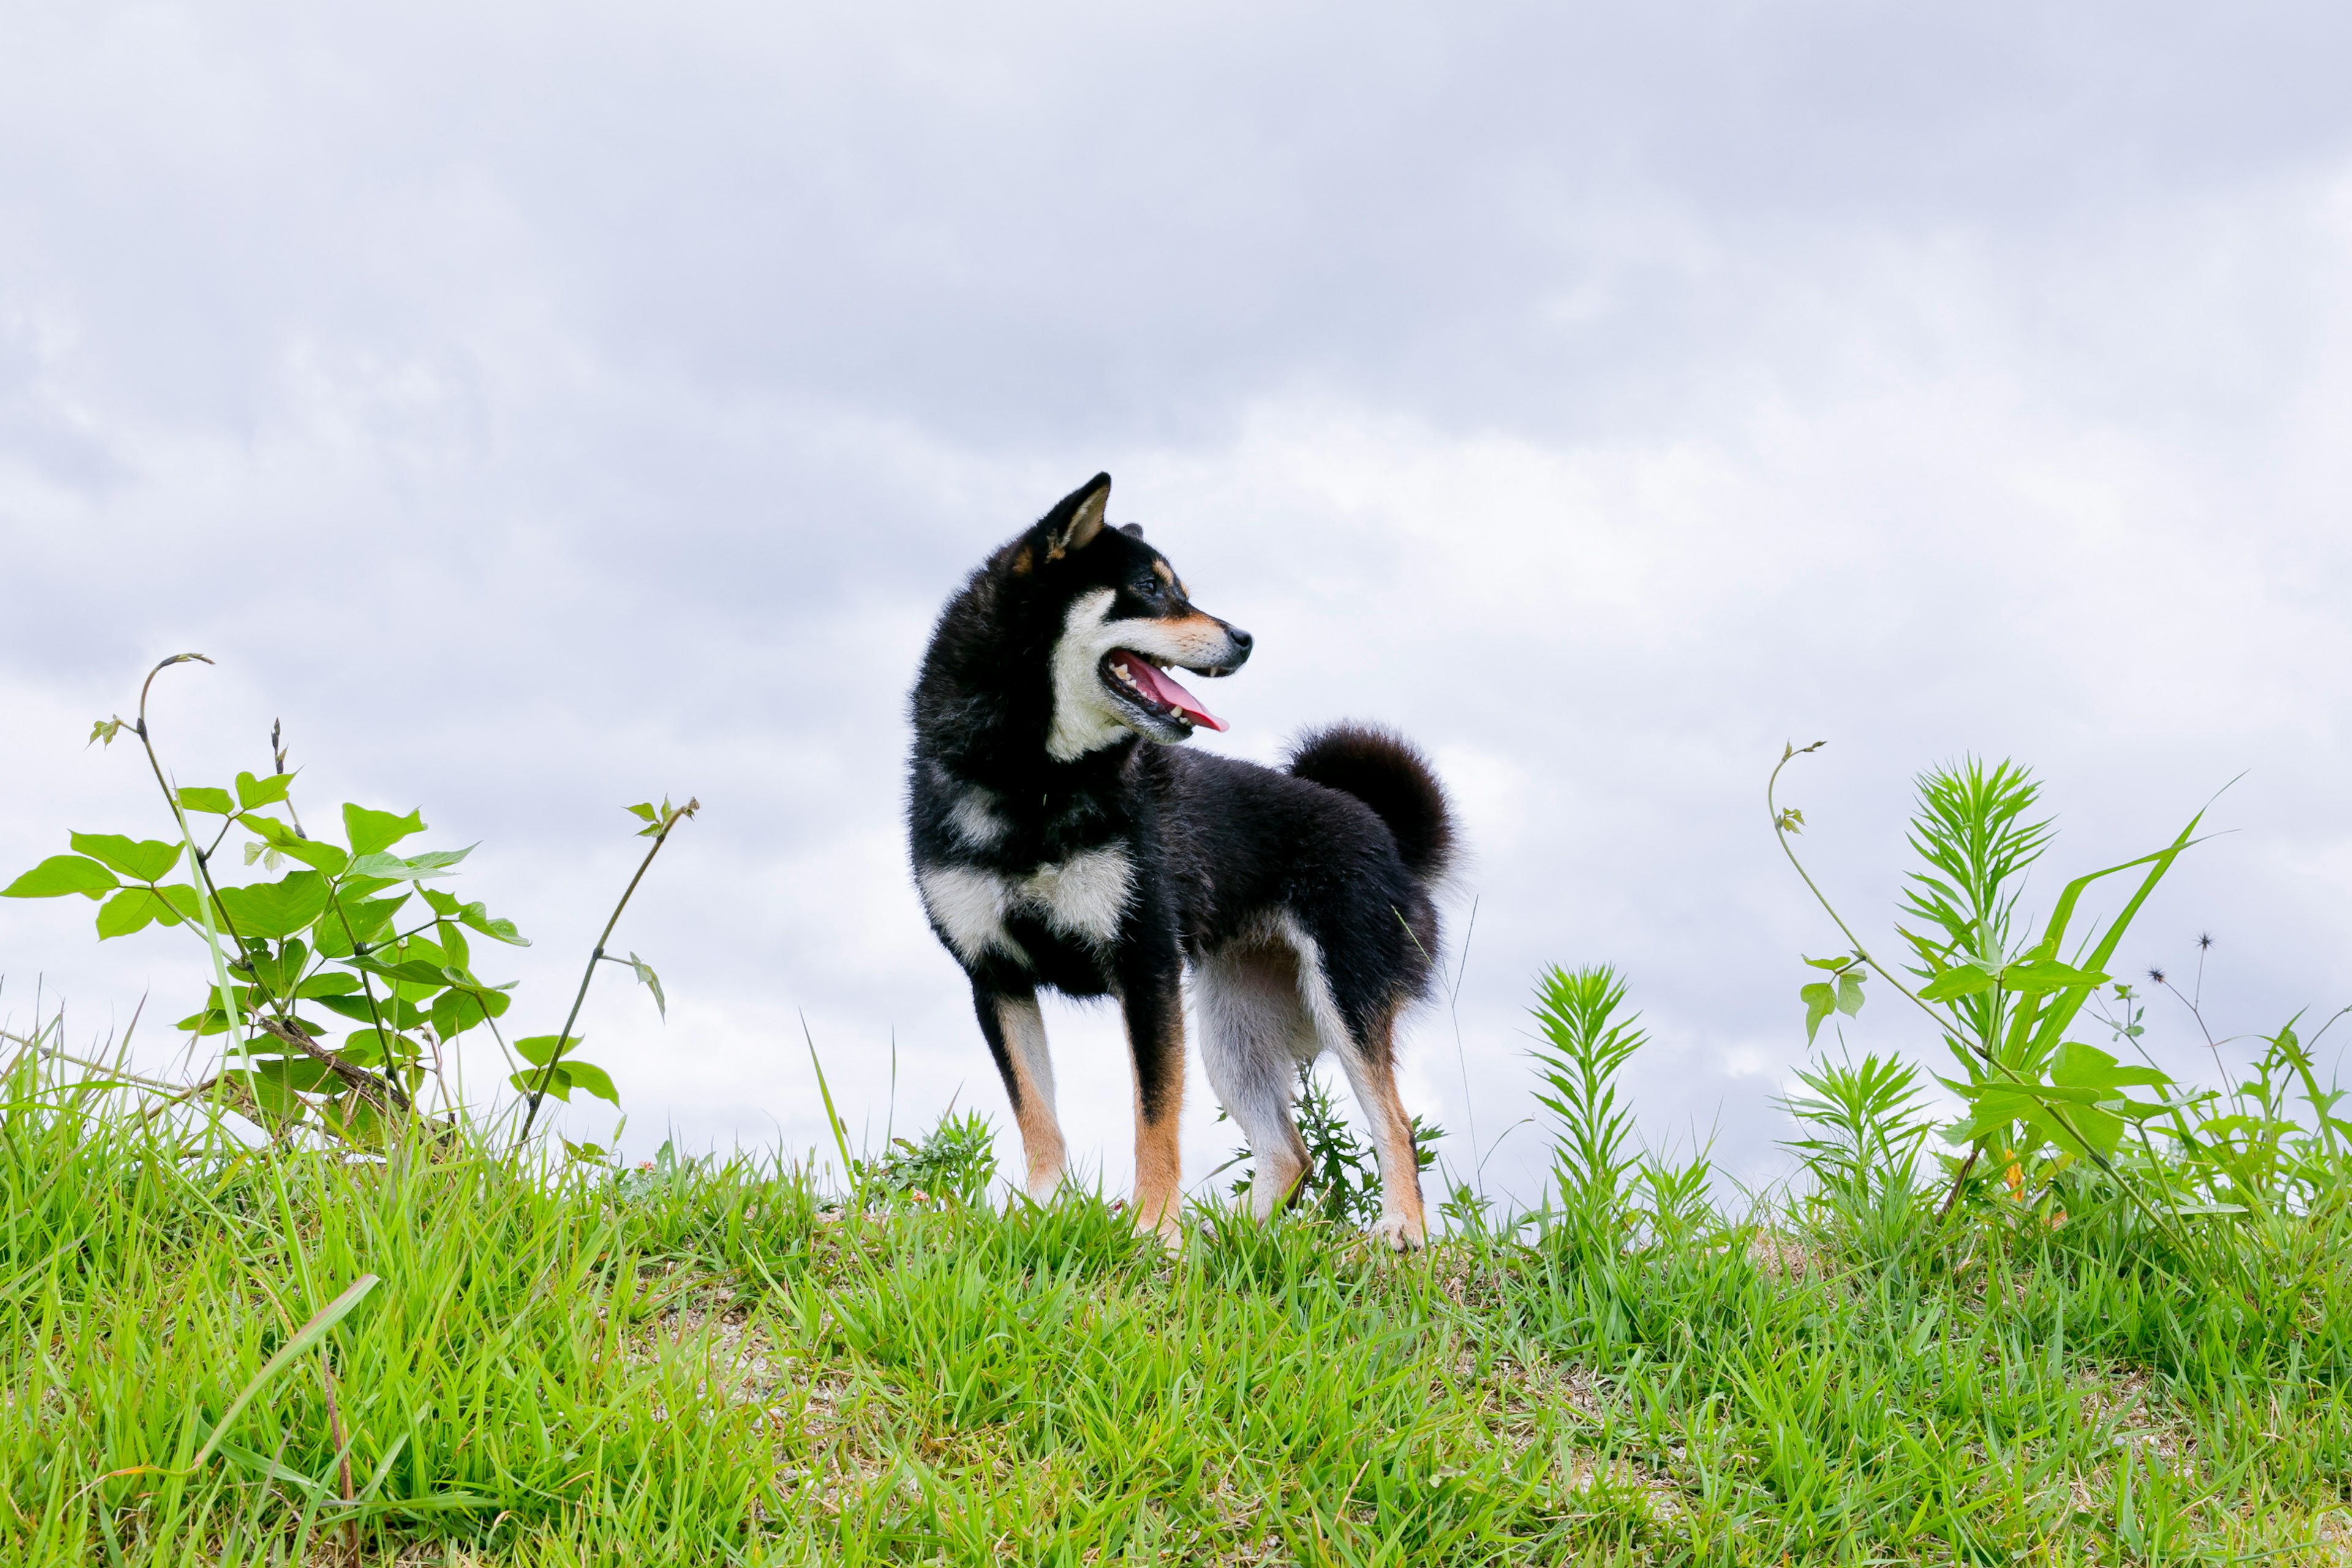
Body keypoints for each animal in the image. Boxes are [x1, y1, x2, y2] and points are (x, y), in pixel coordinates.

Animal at [903, 472, 1439, 1241]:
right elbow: (1038, 1117)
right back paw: (1235, 1234)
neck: (1033, 783)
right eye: (1151, 590)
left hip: (1343, 999)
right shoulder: (997, 979)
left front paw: (1155, 1229)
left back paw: (1402, 1229)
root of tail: (1384, 830)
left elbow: (1152, 1119)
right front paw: (1042, 1208)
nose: (1245, 638)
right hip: (1233, 1034)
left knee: (1395, 1124)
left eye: (1176, 587)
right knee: (1291, 1152)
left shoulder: (1145, 966)